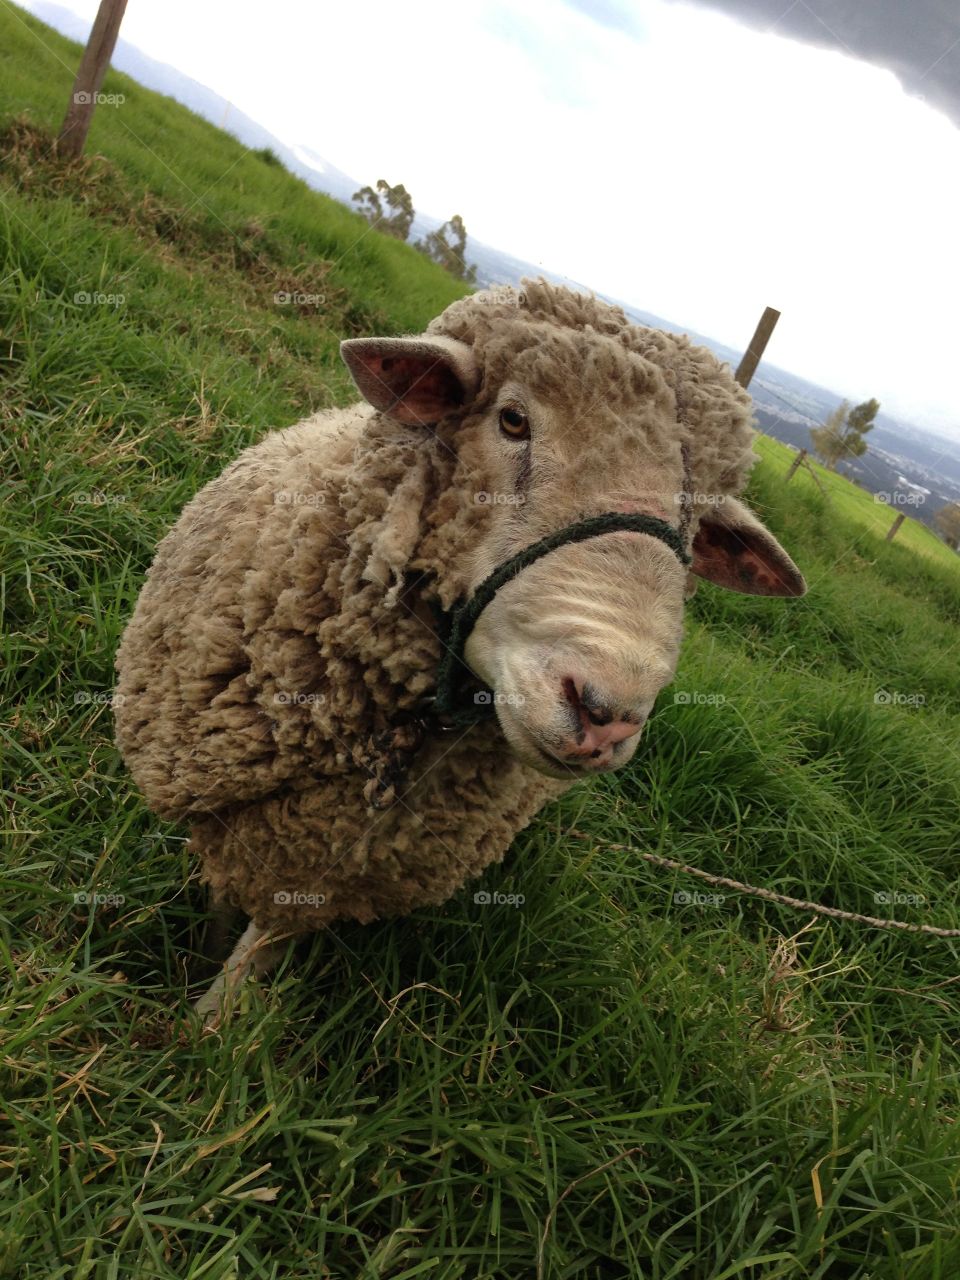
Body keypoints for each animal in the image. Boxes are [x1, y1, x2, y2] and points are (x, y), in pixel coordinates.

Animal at [113, 278, 806, 1020]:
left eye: (700, 520)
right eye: (512, 421)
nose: (606, 714)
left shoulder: (333, 857)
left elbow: (264, 939)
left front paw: (214, 1021)